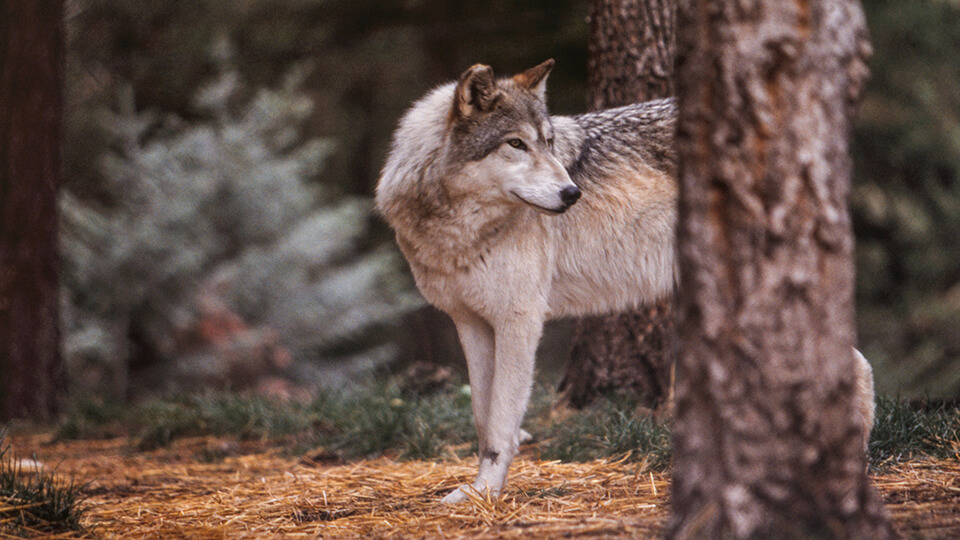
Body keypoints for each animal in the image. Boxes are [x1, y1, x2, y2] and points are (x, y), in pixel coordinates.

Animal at [376, 59, 876, 504]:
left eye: (549, 144)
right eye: (516, 144)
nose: (572, 193)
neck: (455, 226)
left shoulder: (520, 320)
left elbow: (502, 421)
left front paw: (486, 496)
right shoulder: (471, 323)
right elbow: (482, 416)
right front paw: (476, 489)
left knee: (856, 366)